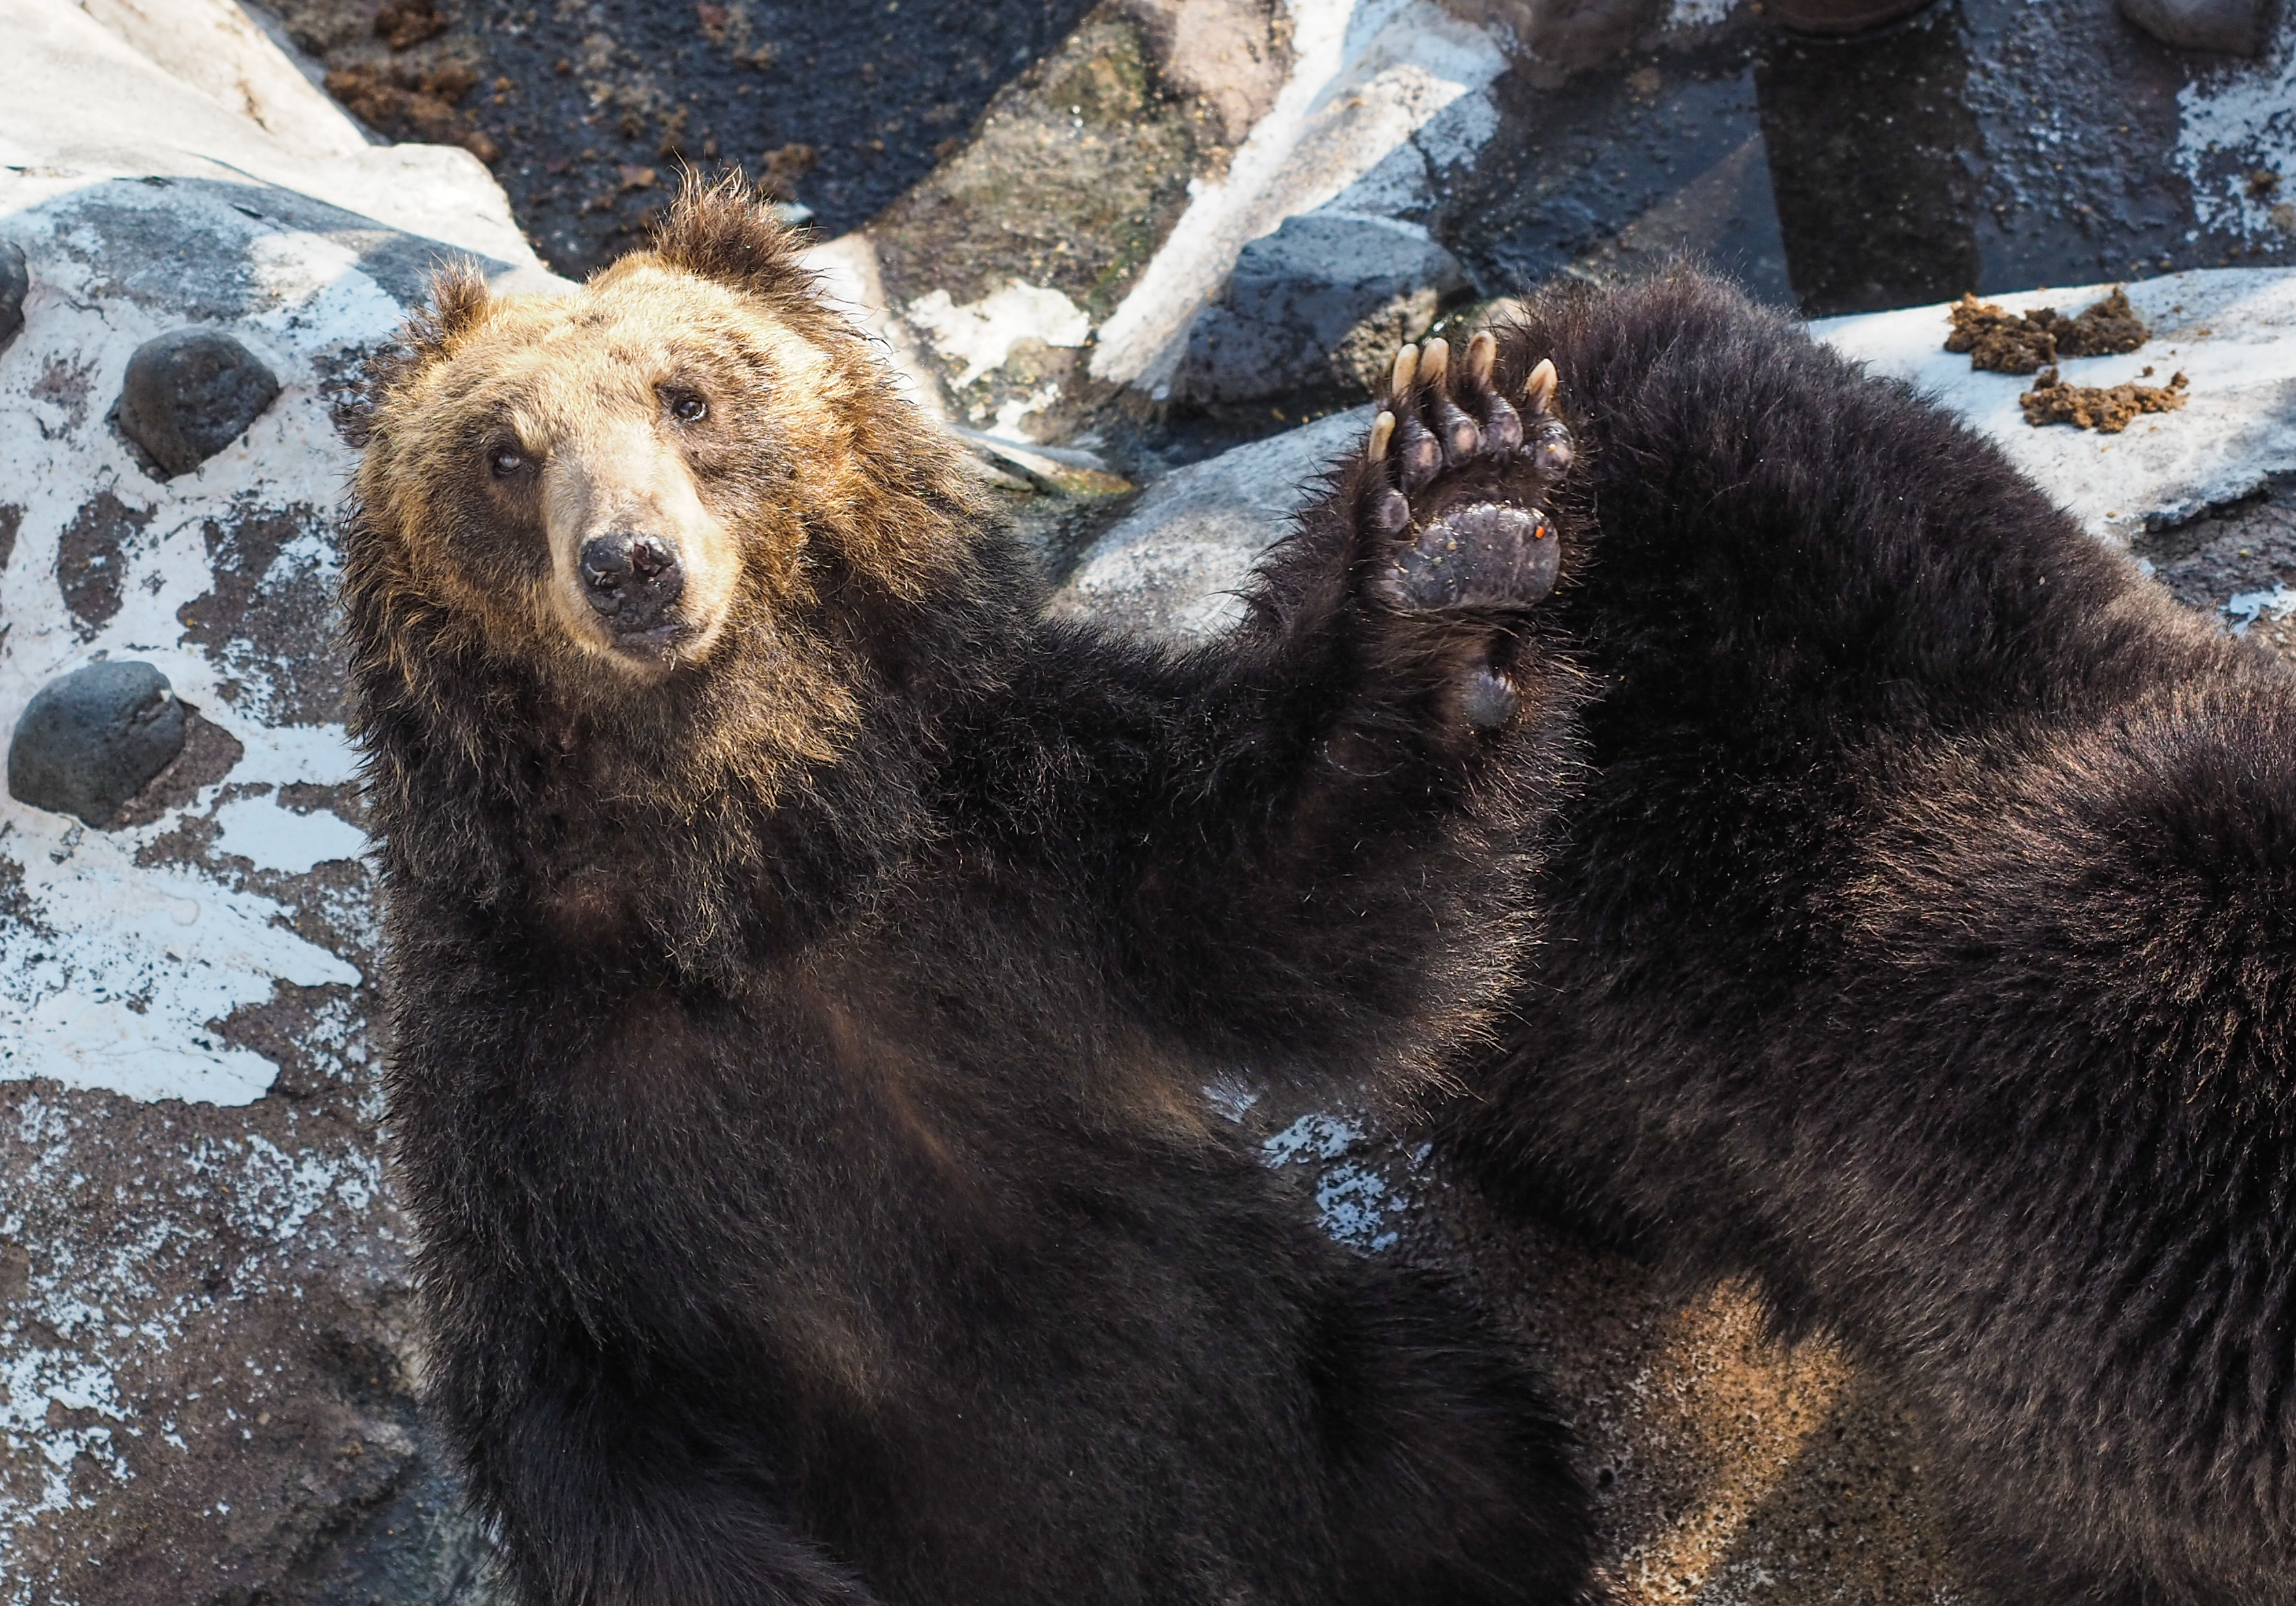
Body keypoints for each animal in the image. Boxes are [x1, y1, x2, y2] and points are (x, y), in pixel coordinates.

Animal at [344, 182, 1598, 1606]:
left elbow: (1281, 902)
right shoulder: (530, 1087)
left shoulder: (1026, 827)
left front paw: (1458, 498)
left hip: (1303, 1368)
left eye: (687, 395)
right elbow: (585, 1407)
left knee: (1442, 1442)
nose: (630, 564)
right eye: (503, 454)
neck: (750, 867)